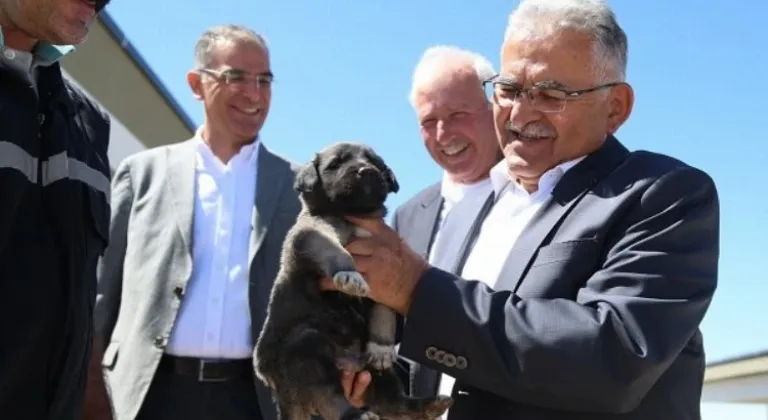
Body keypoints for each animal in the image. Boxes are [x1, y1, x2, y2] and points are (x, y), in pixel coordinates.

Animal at [255, 142, 452, 420]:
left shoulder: (385, 275)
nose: (366, 171)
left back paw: (427, 406)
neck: (351, 214)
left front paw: (381, 346)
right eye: (335, 164)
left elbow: (384, 309)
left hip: (375, 374)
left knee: (392, 402)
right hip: (305, 348)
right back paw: (357, 414)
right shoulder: (313, 234)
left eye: (376, 163)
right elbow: (337, 252)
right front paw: (349, 274)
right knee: (331, 396)